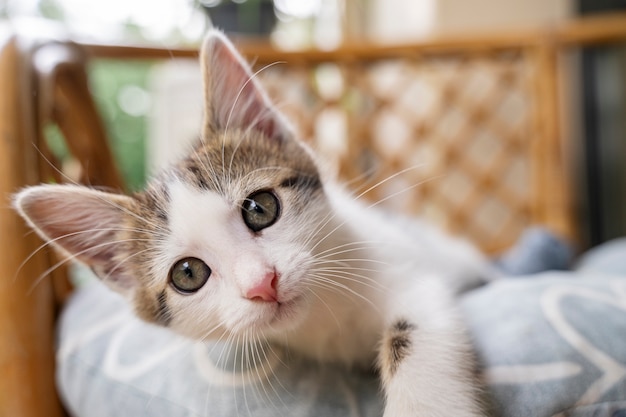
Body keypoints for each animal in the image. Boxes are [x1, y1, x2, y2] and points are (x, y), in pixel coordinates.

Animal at [13, 30, 492, 414]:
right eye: (188, 274)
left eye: (260, 208)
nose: (264, 283)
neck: (325, 320)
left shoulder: (412, 273)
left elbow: (411, 334)